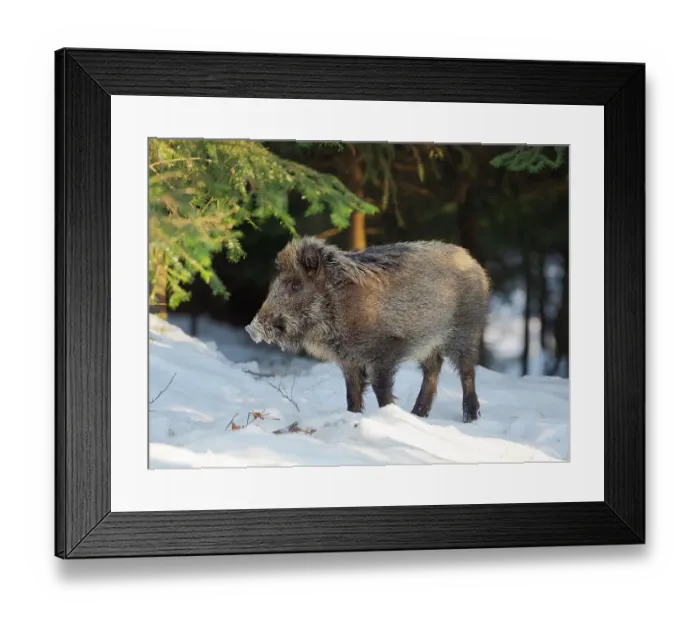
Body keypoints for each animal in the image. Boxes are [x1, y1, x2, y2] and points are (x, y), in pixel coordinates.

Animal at [245, 236, 491, 423]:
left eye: (295, 286)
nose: (251, 328)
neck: (338, 307)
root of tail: (474, 263)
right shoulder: (349, 361)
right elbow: (352, 394)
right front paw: (353, 416)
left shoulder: (382, 353)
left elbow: (381, 391)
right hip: (427, 343)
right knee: (434, 368)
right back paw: (417, 414)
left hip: (465, 331)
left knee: (466, 371)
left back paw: (470, 417)